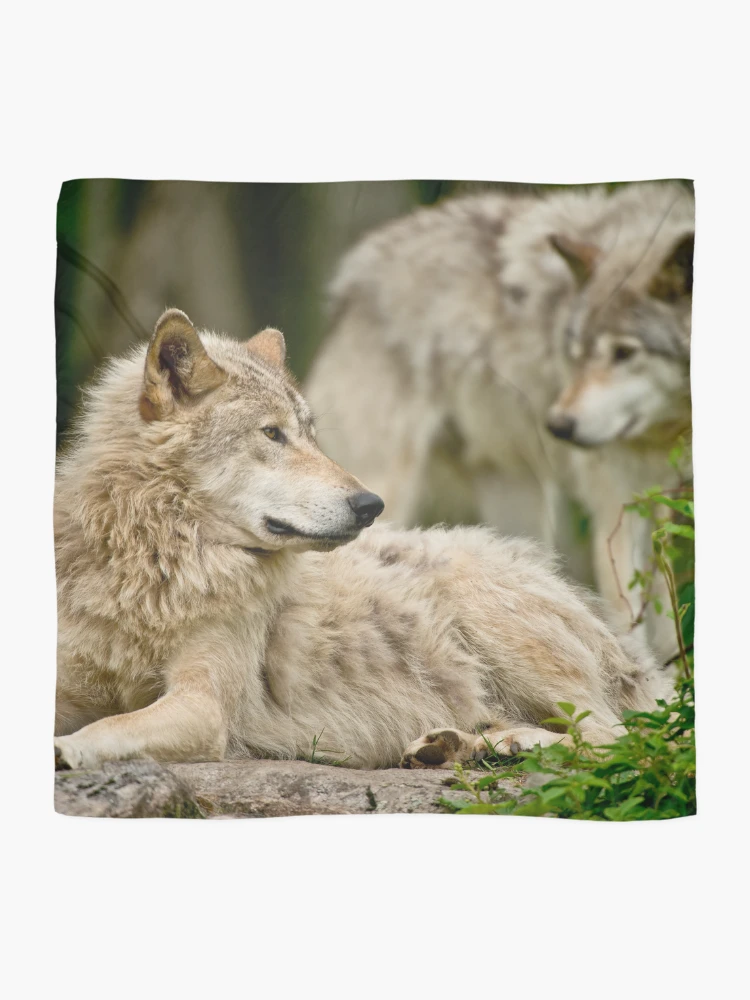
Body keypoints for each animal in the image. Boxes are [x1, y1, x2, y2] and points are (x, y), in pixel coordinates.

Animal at [53, 309, 675, 774]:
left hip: (491, 615)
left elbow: (112, 725)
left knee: (621, 737)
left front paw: (66, 750)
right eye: (272, 434)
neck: (155, 561)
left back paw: (504, 746)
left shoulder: (203, 708)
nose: (370, 505)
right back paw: (456, 746)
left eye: (310, 434)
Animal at [305, 182, 694, 662]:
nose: (559, 427)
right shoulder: (616, 505)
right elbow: (631, 619)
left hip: (519, 507)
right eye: (575, 352)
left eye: (624, 353)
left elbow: (666, 624)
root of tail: (353, 276)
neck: (669, 426)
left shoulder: (664, 505)